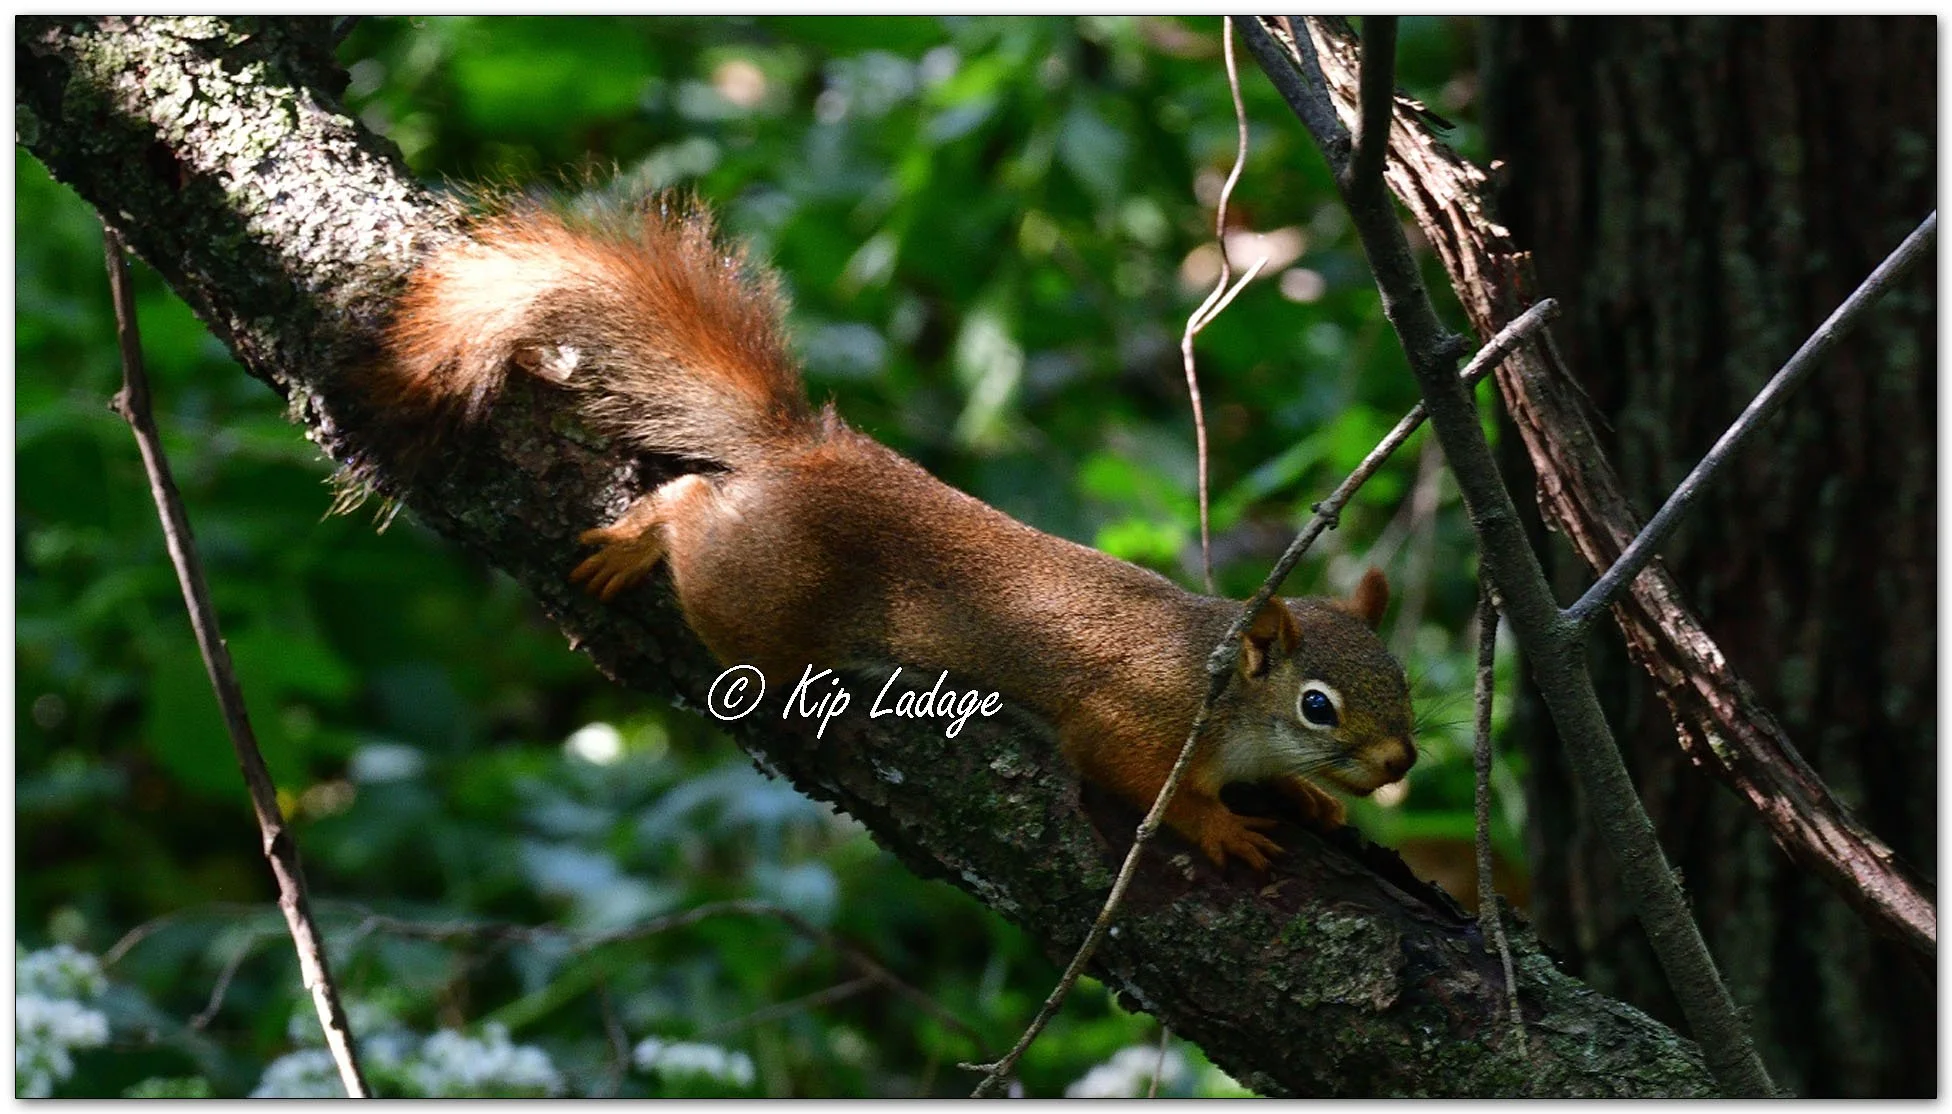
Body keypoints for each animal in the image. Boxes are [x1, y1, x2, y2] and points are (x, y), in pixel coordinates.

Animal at [364, 198, 1416, 871]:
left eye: (1402, 681)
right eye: (1318, 706)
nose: (1402, 763)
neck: (1230, 701)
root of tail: (803, 458)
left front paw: (1307, 800)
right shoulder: (1137, 717)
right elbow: (1137, 778)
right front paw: (1224, 827)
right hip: (754, 599)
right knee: (694, 508)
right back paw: (640, 539)